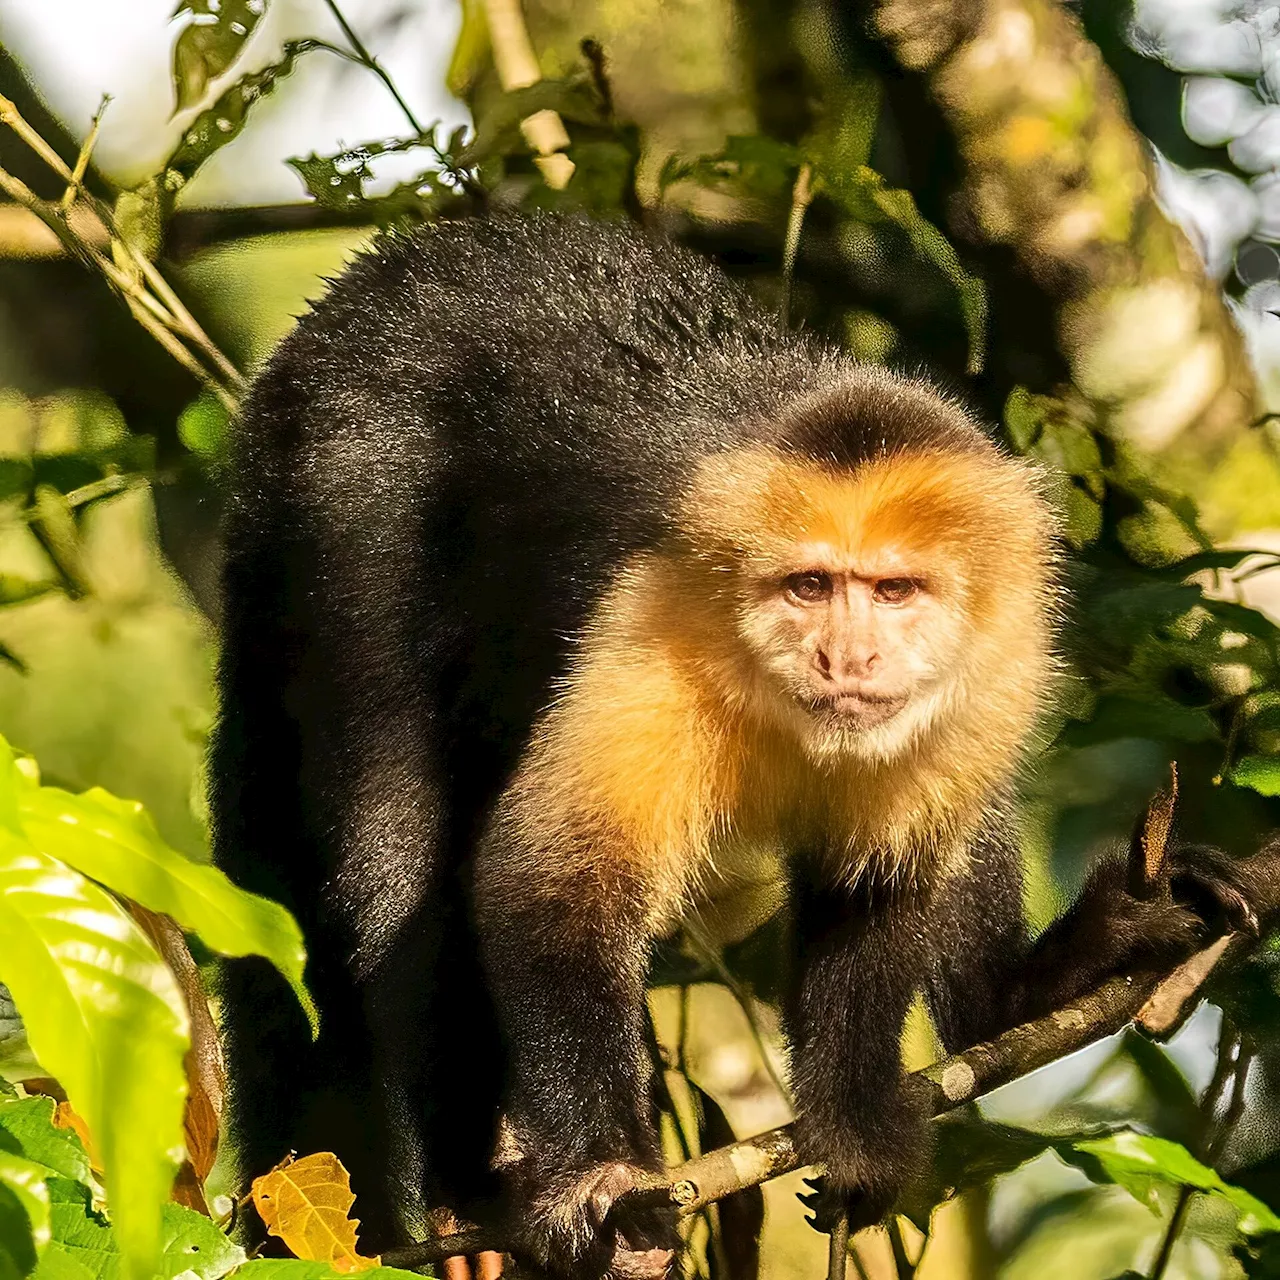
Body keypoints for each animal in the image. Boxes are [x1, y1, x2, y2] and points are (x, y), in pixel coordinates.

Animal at [212, 215, 1259, 1274]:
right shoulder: (660, 606)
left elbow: (877, 889)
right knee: (393, 836)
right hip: (340, 492)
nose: (846, 656)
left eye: (894, 591)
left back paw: (1017, 997)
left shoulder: (1002, 659)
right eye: (808, 587)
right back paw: (469, 1191)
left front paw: (855, 1128)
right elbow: (550, 877)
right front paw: (598, 1174)